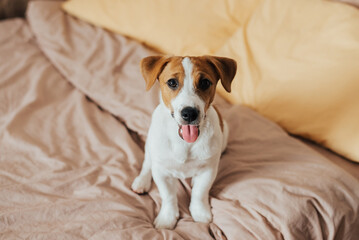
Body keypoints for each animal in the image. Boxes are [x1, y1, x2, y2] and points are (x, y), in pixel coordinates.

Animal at [131, 54, 236, 229]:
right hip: (150, 145)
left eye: (205, 82)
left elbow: (200, 193)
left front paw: (200, 212)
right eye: (172, 82)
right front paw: (167, 218)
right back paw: (142, 181)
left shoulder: (208, 170)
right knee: (147, 163)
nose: (189, 113)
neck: (185, 143)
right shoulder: (162, 172)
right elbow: (168, 196)